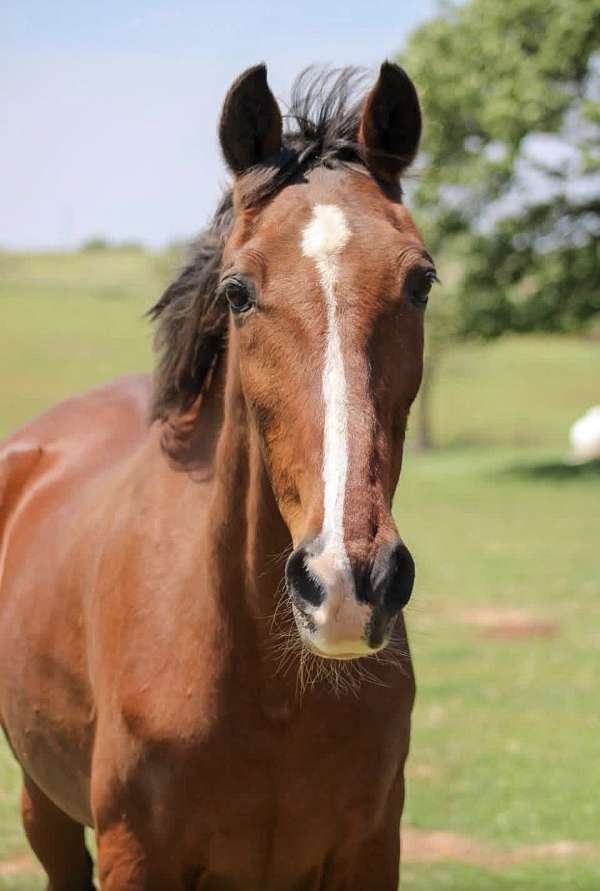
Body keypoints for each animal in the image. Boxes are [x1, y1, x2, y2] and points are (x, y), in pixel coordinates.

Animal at [0, 62, 436, 890]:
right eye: (238, 290)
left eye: (421, 281)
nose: (348, 582)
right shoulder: (135, 854)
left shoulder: (370, 851)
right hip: (45, 804)